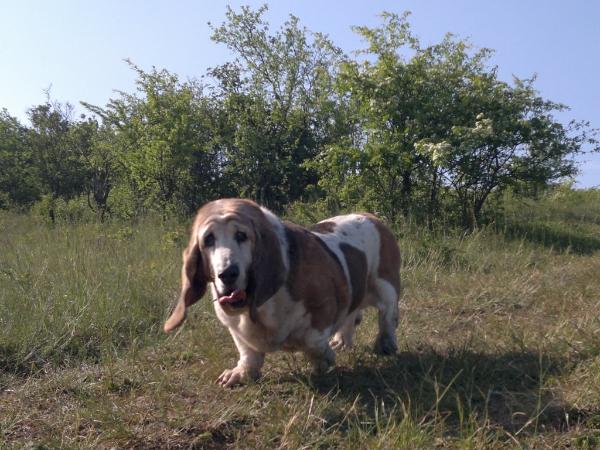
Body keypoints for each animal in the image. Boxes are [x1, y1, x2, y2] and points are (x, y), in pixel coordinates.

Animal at [162, 200, 400, 386]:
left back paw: (385, 344)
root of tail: (370, 216)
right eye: (208, 239)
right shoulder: (236, 329)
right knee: (351, 314)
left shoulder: (322, 309)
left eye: (241, 235)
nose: (227, 273)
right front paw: (240, 373)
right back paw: (342, 341)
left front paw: (325, 360)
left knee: (387, 316)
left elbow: (312, 342)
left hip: (386, 286)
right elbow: (248, 353)